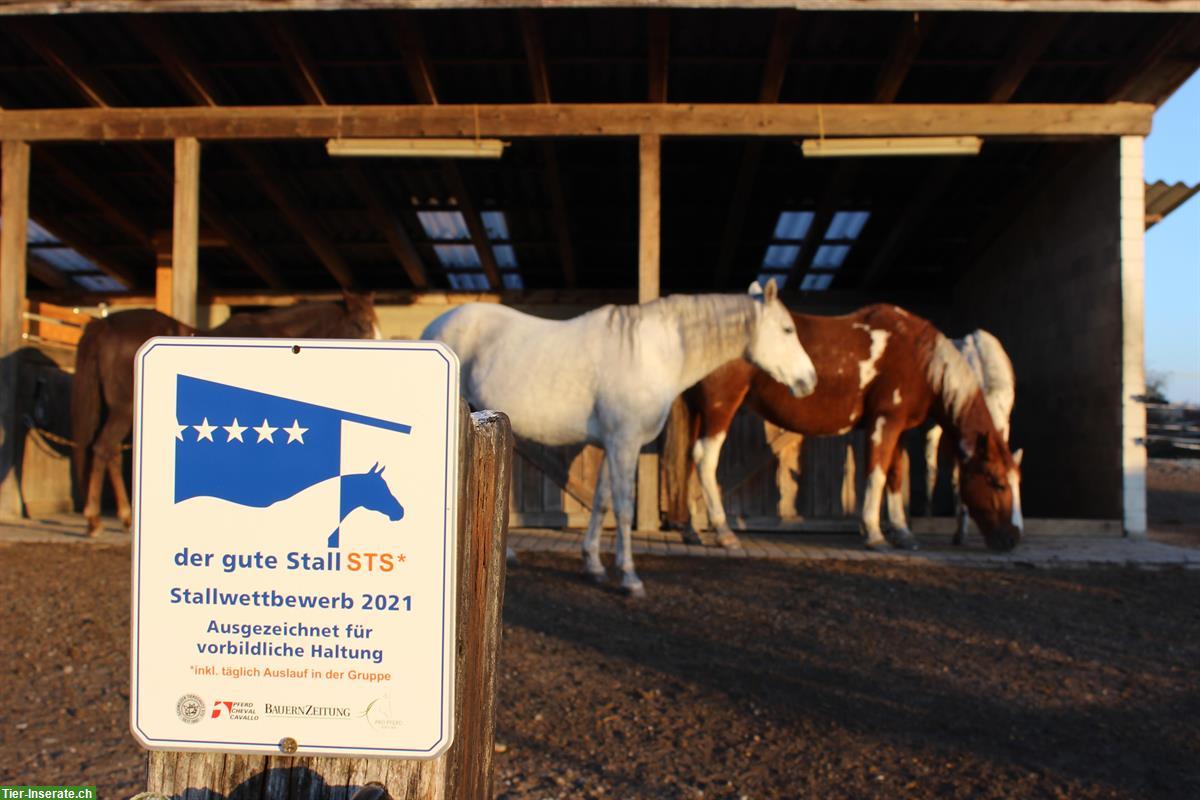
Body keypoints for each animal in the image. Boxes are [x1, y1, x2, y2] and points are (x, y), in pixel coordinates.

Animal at [70, 291, 379, 534]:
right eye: (361, 325)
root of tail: (104, 323)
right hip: (123, 410)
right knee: (103, 449)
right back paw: (96, 519)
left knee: (109, 453)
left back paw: (122, 518)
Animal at [422, 280, 816, 594]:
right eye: (787, 330)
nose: (809, 380)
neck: (652, 352)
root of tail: (434, 327)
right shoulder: (625, 443)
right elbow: (625, 508)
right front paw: (629, 577)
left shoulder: (611, 445)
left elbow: (602, 502)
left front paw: (594, 566)